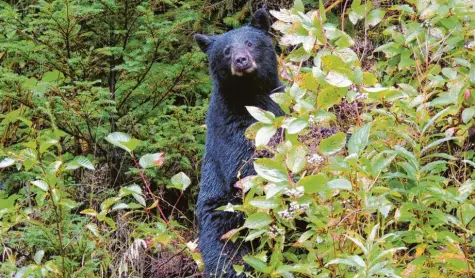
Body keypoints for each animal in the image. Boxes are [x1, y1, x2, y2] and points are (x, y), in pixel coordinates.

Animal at [195, 8, 284, 278]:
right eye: (226, 51)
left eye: (249, 42)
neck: (251, 94)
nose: (241, 60)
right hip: (227, 221)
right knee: (226, 258)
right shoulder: (231, 124)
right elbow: (244, 162)